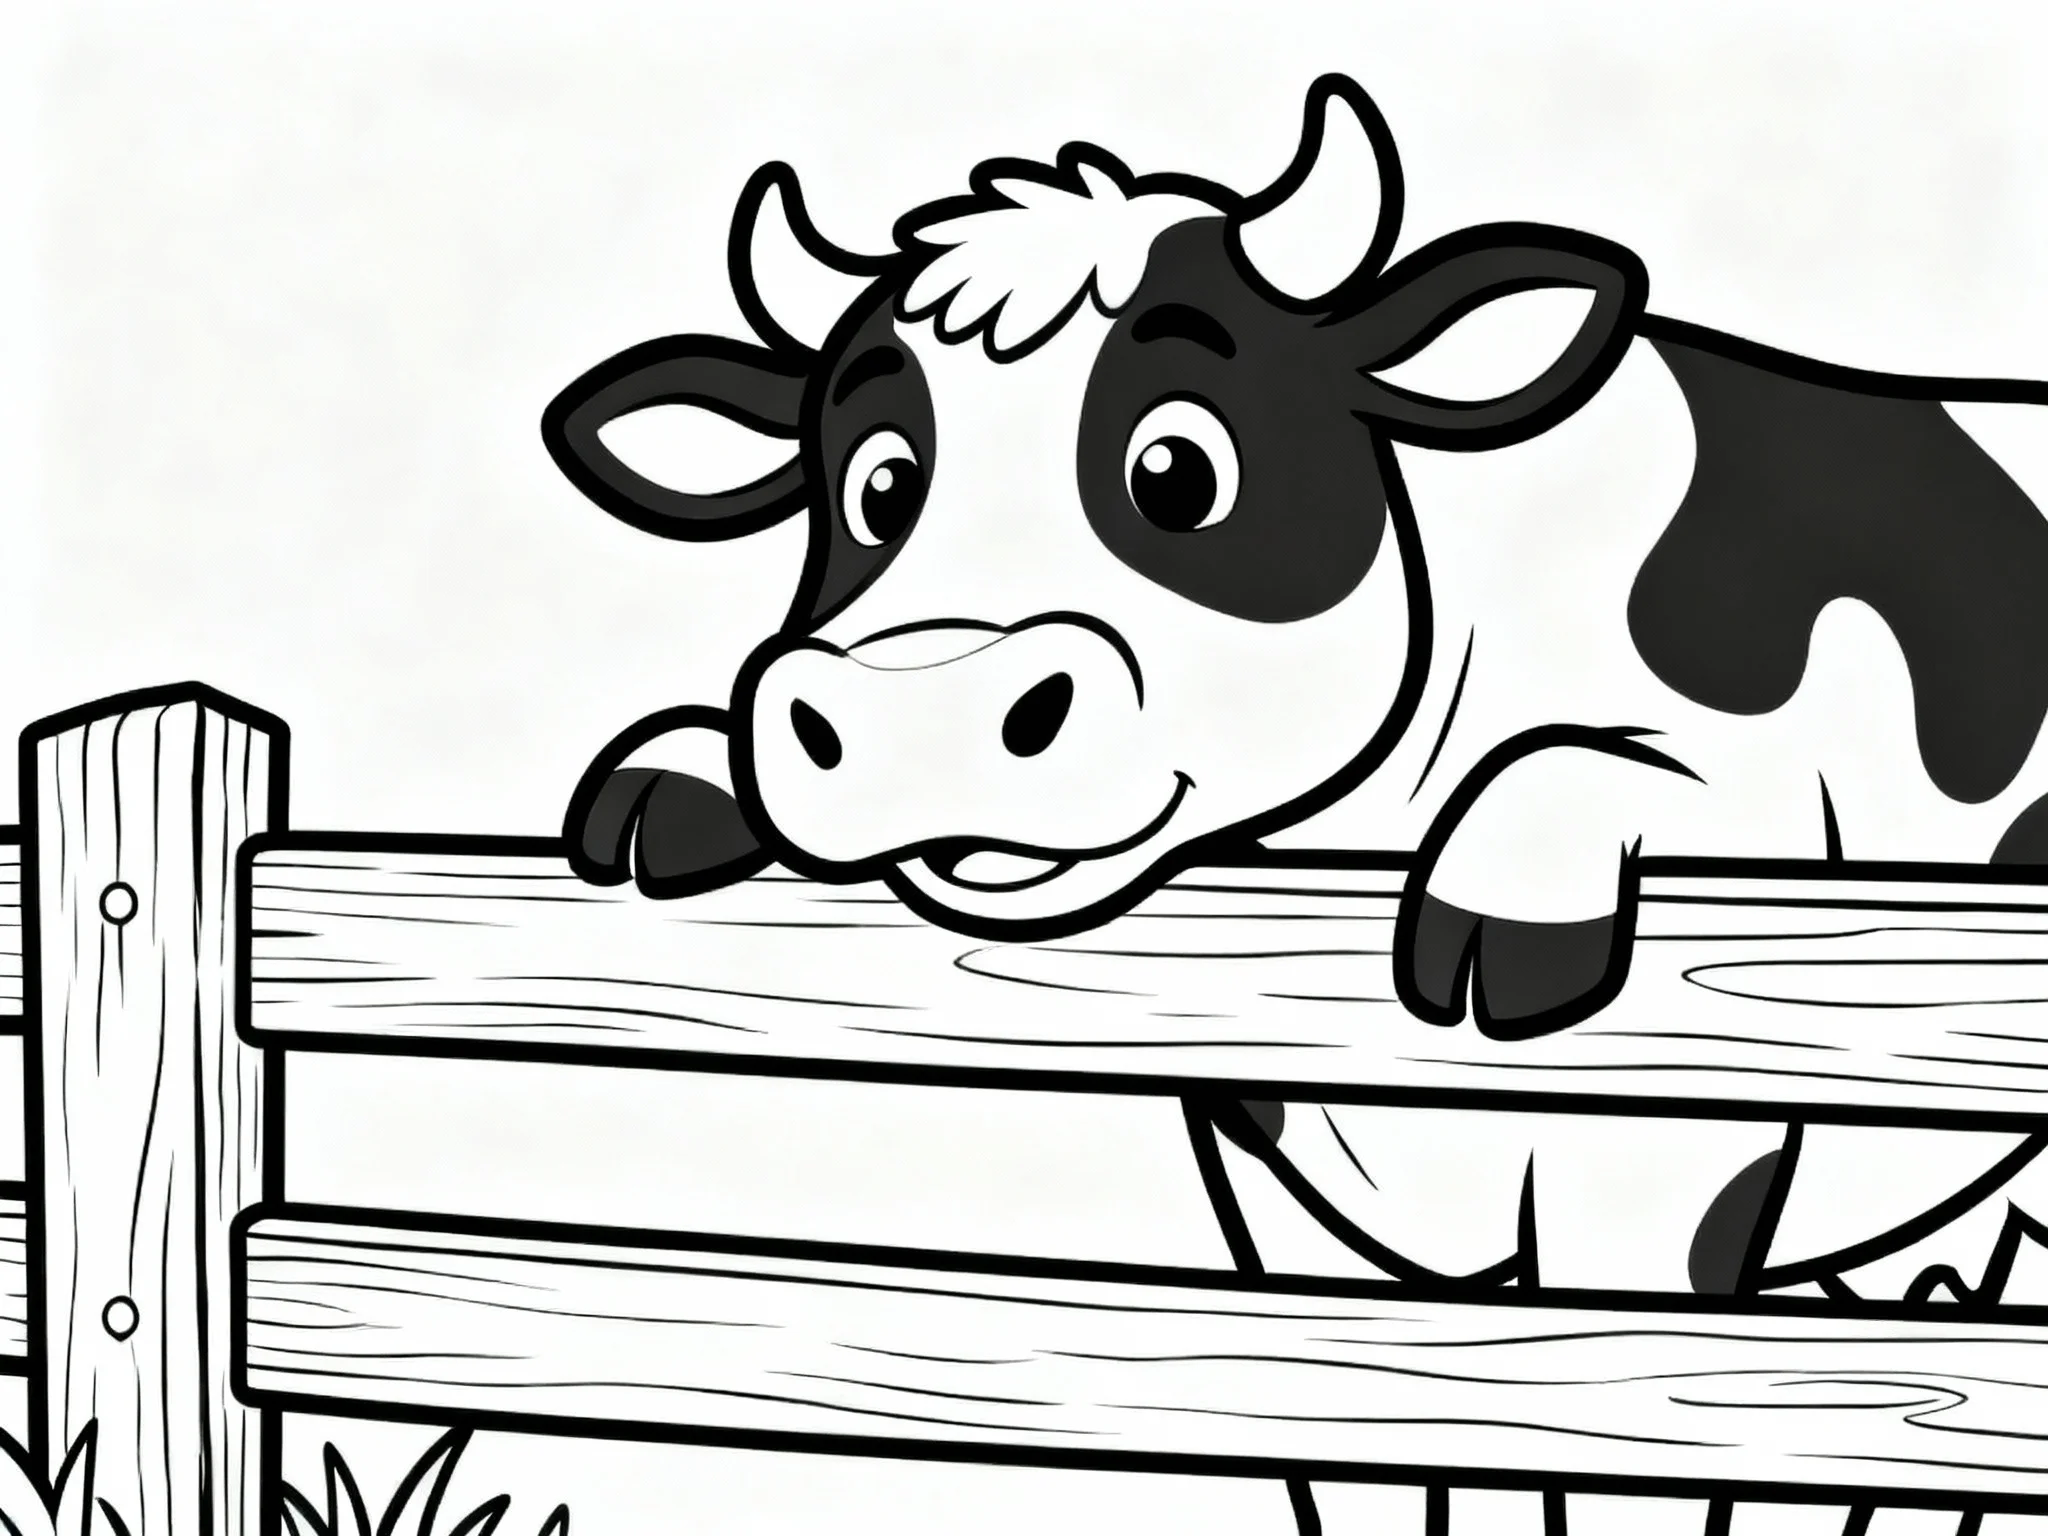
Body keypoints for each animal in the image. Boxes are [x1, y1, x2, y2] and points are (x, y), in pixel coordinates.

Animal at [540, 76, 2048, 1536]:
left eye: (1178, 469)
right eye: (873, 485)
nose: (927, 708)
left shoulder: (1677, 1155)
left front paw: (1501, 914)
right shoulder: (1288, 1206)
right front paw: (674, 778)